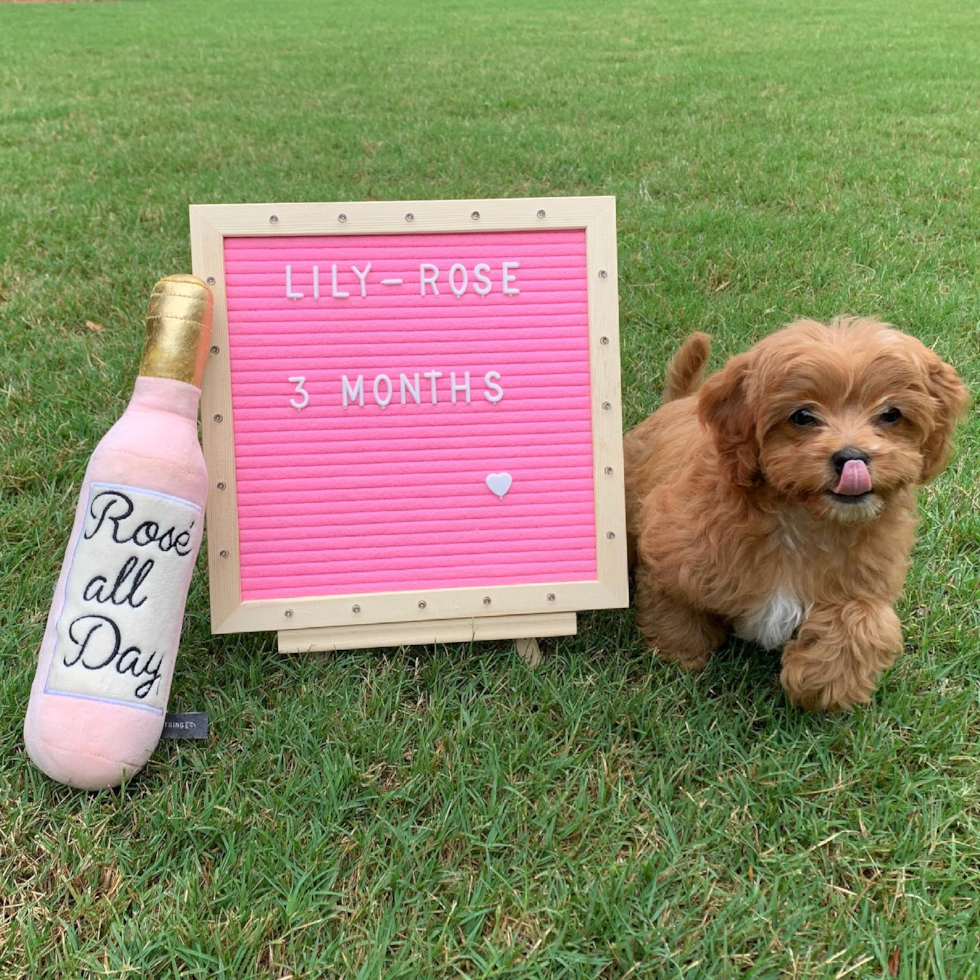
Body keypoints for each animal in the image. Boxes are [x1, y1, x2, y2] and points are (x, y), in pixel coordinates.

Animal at [624, 322, 968, 712]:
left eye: (891, 414)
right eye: (802, 416)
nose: (852, 457)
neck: (804, 519)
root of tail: (678, 402)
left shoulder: (871, 577)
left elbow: (863, 621)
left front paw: (819, 684)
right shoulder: (675, 548)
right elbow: (673, 603)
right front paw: (681, 656)